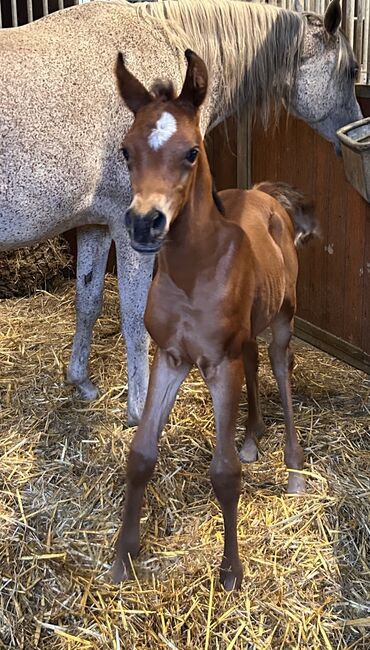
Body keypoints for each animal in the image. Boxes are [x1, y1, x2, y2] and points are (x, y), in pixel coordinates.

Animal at [112, 50, 318, 588]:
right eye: (125, 152)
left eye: (190, 152)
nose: (144, 224)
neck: (193, 271)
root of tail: (265, 193)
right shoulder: (171, 357)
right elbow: (140, 454)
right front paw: (123, 556)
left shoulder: (219, 363)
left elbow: (224, 473)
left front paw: (231, 571)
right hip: (246, 332)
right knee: (255, 362)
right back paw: (252, 438)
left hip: (285, 317)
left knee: (280, 368)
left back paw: (294, 470)